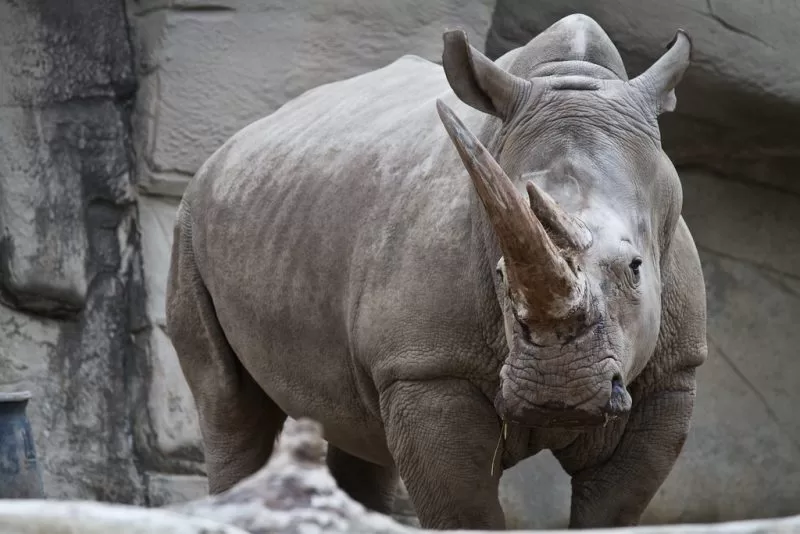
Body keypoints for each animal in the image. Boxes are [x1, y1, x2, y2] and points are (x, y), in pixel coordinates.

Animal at [166, 13, 708, 530]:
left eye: (635, 269)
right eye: (500, 275)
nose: (559, 393)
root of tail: (227, 148)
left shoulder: (672, 375)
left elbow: (613, 511)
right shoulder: (427, 367)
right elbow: (463, 512)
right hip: (190, 220)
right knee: (229, 408)